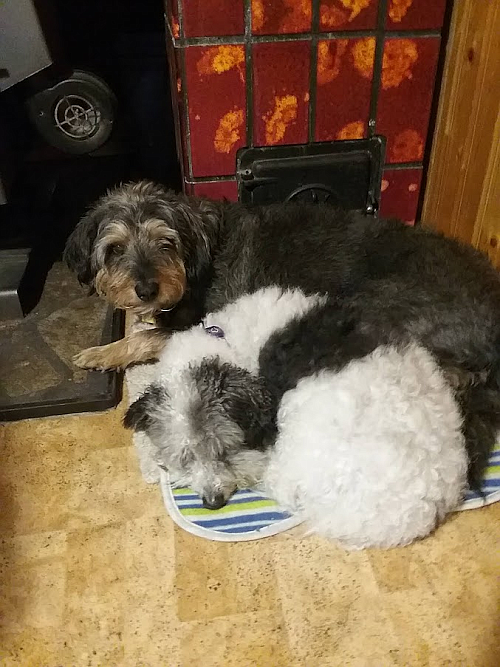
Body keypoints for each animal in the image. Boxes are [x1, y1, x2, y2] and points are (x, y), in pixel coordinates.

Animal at [63, 180, 500, 488]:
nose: (146, 289)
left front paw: (99, 353)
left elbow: (144, 338)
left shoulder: (206, 322)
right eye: (115, 249)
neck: (199, 256)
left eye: (165, 242)